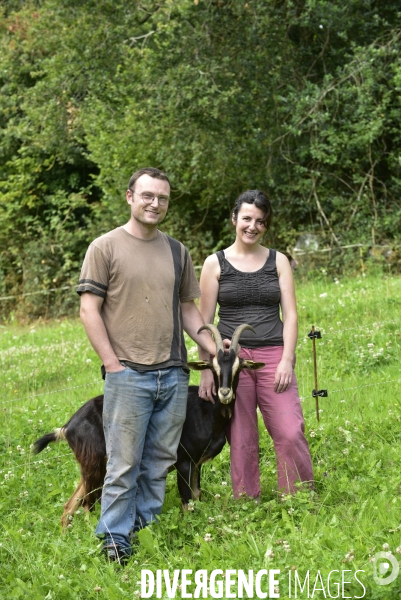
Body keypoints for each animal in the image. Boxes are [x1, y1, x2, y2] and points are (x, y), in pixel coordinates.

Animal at [32, 324, 264, 524]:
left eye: (239, 366)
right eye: (213, 366)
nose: (224, 393)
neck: (207, 410)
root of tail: (68, 426)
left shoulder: (196, 463)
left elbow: (197, 495)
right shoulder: (184, 461)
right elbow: (187, 503)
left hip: (90, 467)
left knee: (69, 506)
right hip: (94, 465)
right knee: (88, 505)